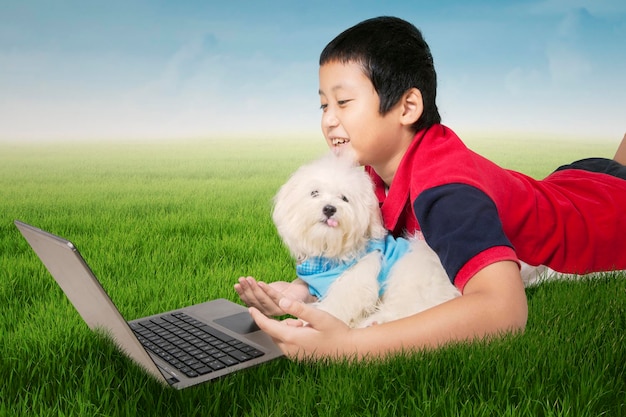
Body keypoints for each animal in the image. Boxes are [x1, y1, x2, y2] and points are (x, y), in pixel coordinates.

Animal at [272, 153, 458, 328]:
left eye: (344, 198)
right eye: (314, 193)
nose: (329, 208)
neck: (330, 251)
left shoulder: (357, 281)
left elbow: (339, 303)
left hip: (411, 273)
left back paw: (375, 321)